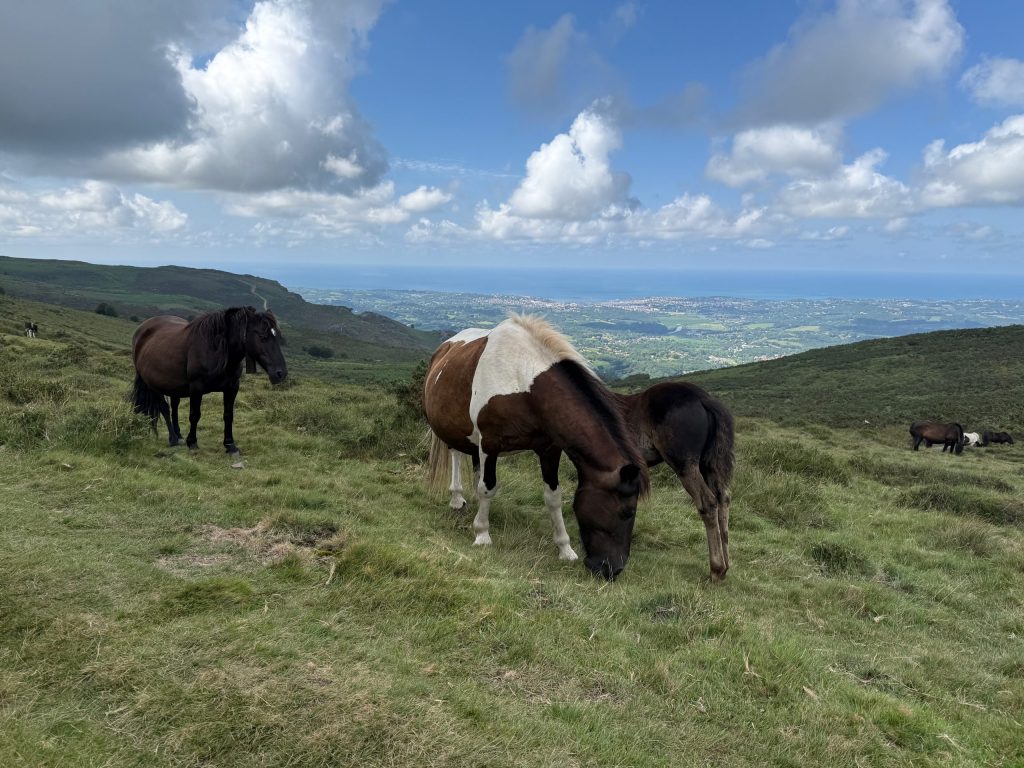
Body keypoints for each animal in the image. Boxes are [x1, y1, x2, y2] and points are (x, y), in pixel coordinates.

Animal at [131, 306, 287, 455]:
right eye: (262, 337)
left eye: (278, 338)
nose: (281, 373)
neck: (216, 349)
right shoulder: (196, 387)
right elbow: (194, 415)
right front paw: (192, 442)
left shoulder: (232, 387)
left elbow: (228, 415)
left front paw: (230, 445)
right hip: (152, 384)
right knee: (164, 408)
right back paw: (173, 438)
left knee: (174, 405)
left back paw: (178, 434)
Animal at [423, 314, 648, 581]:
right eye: (627, 512)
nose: (612, 569)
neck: (523, 381)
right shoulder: (490, 443)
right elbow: (488, 488)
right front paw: (482, 534)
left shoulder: (549, 449)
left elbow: (553, 497)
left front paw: (565, 548)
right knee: (457, 455)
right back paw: (457, 499)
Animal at [615, 382, 734, 582]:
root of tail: (703, 398)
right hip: (708, 465)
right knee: (723, 499)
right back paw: (726, 567)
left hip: (685, 465)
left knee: (708, 503)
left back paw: (716, 570)